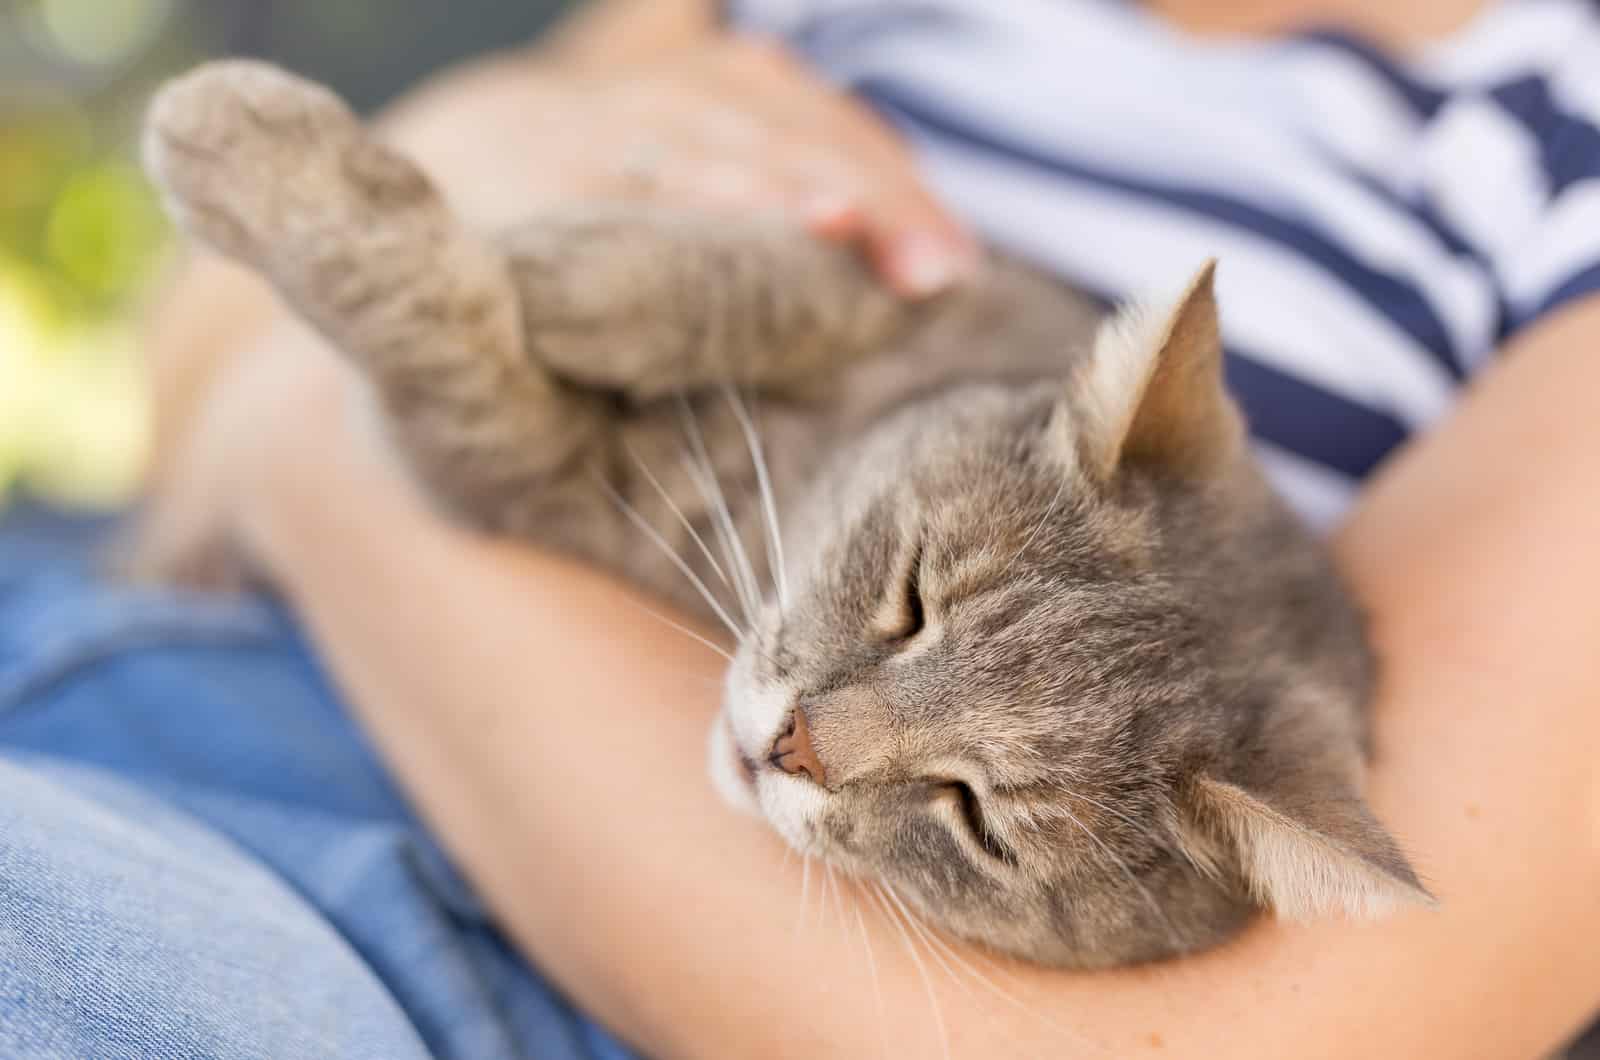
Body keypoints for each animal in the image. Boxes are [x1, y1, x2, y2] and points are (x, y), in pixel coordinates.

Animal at [144, 58, 1433, 973]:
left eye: (978, 818)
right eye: (911, 595)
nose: (787, 746)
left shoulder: (516, 466)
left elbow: (436, 324)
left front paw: (265, 165)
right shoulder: (950, 275)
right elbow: (772, 272)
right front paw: (573, 275)